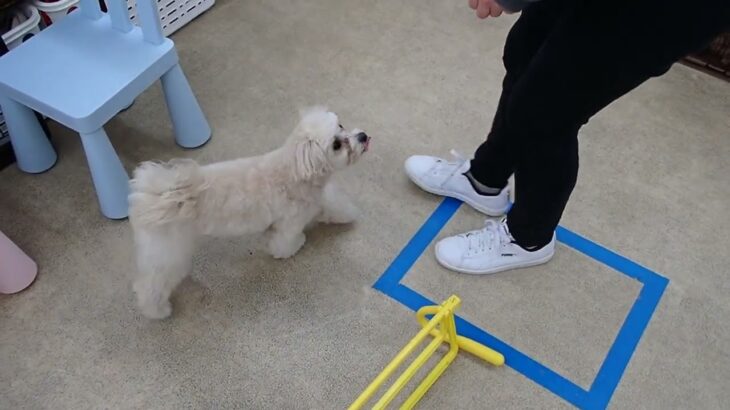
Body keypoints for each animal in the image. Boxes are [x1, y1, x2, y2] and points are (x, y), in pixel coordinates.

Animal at [126, 107, 370, 318]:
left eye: (341, 124)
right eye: (336, 145)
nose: (363, 136)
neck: (297, 169)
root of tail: (157, 194)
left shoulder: (318, 199)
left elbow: (333, 205)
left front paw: (346, 214)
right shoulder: (290, 222)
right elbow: (285, 242)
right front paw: (293, 247)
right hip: (169, 253)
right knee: (150, 286)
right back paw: (157, 311)